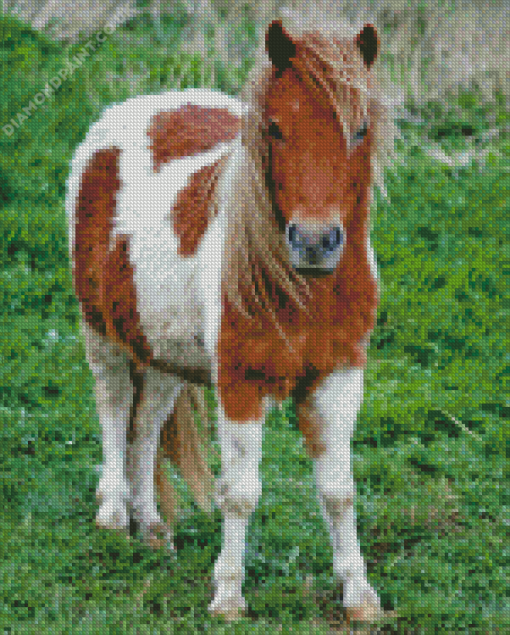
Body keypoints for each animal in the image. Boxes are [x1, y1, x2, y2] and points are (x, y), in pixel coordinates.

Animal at [66, 18, 390, 620]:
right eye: (276, 129)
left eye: (359, 130)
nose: (315, 242)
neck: (302, 289)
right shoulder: (240, 383)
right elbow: (239, 493)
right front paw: (229, 596)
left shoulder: (339, 378)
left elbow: (338, 491)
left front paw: (360, 596)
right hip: (101, 331)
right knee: (114, 408)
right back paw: (114, 515)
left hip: (161, 348)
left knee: (146, 424)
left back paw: (152, 528)